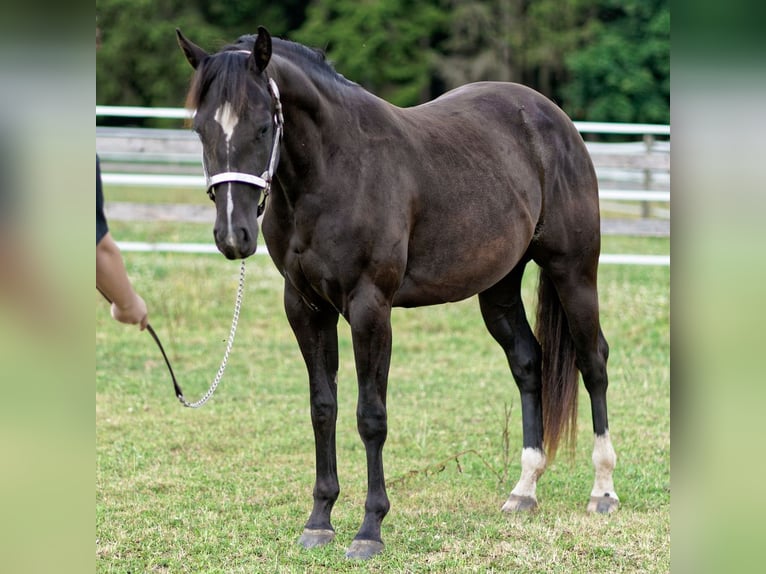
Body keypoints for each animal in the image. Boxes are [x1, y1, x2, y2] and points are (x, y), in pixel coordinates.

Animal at [176, 27, 618, 559]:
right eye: (201, 129)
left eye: (263, 127)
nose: (232, 235)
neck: (335, 171)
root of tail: (554, 118)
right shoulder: (305, 307)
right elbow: (323, 408)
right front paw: (319, 521)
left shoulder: (370, 308)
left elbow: (371, 416)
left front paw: (369, 529)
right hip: (498, 288)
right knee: (528, 363)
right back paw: (523, 491)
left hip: (574, 271)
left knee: (593, 362)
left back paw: (603, 491)